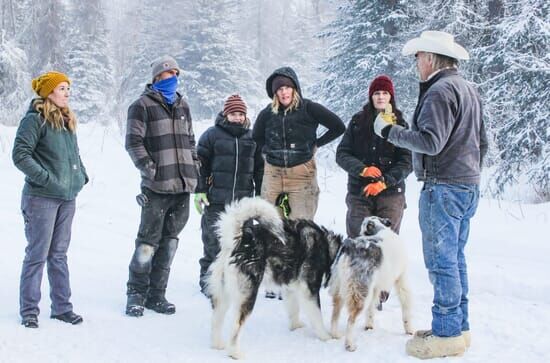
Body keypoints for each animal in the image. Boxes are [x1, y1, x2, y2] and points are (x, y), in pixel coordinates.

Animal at [207, 198, 344, 360]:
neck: (330, 250)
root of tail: (240, 239)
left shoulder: (290, 289)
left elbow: (294, 310)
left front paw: (296, 327)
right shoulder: (309, 290)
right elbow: (317, 317)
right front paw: (326, 337)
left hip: (224, 296)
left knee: (216, 320)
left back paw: (217, 345)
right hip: (247, 296)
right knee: (236, 327)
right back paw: (235, 353)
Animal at [328, 218, 414, 352]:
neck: (380, 229)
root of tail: (350, 247)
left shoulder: (375, 288)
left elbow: (370, 310)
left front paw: (369, 325)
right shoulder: (401, 279)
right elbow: (406, 306)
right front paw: (409, 330)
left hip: (341, 290)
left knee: (335, 314)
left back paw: (335, 334)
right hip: (360, 294)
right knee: (350, 319)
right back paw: (350, 344)